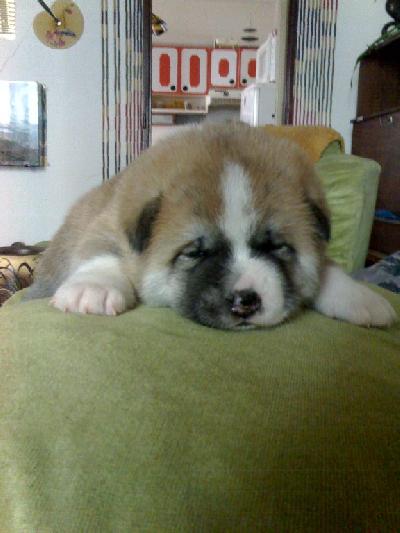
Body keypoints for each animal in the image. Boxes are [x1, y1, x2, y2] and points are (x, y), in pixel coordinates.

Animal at [24, 123, 397, 330]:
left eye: (276, 247)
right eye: (195, 252)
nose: (245, 301)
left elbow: (326, 267)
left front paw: (358, 296)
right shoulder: (109, 222)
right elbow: (103, 252)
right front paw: (93, 288)